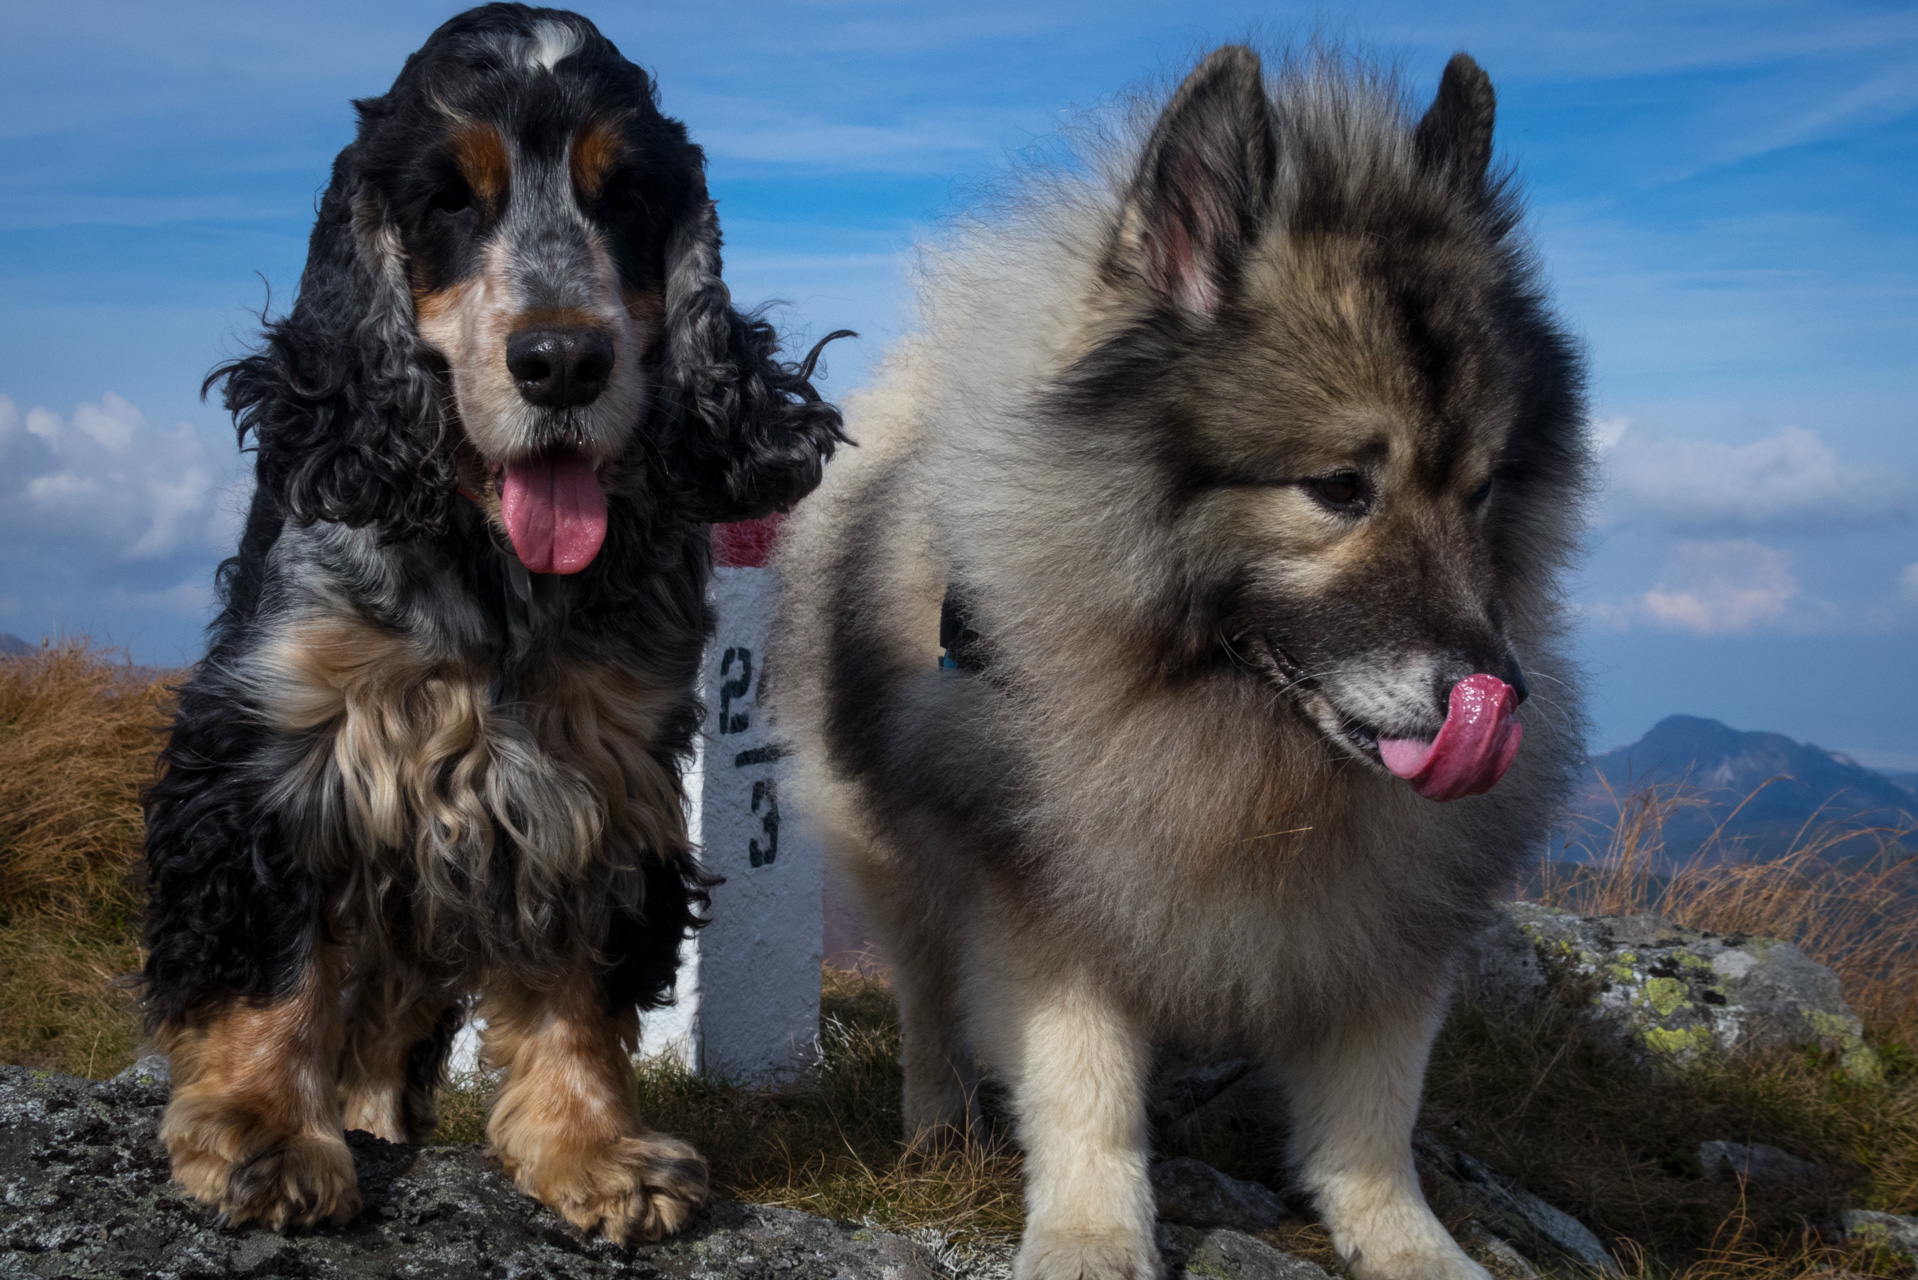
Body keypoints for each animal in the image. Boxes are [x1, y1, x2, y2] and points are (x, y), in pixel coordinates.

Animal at [763, 45, 1588, 1280]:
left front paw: (1408, 1240)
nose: (1492, 699)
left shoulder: (1388, 905)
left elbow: (1373, 1111)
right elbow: (1085, 1083)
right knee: (928, 1002)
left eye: (1484, 489)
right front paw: (1091, 1234)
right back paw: (936, 1130)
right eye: (1338, 487)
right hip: (894, 854)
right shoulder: (1047, 894)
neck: (1218, 715)